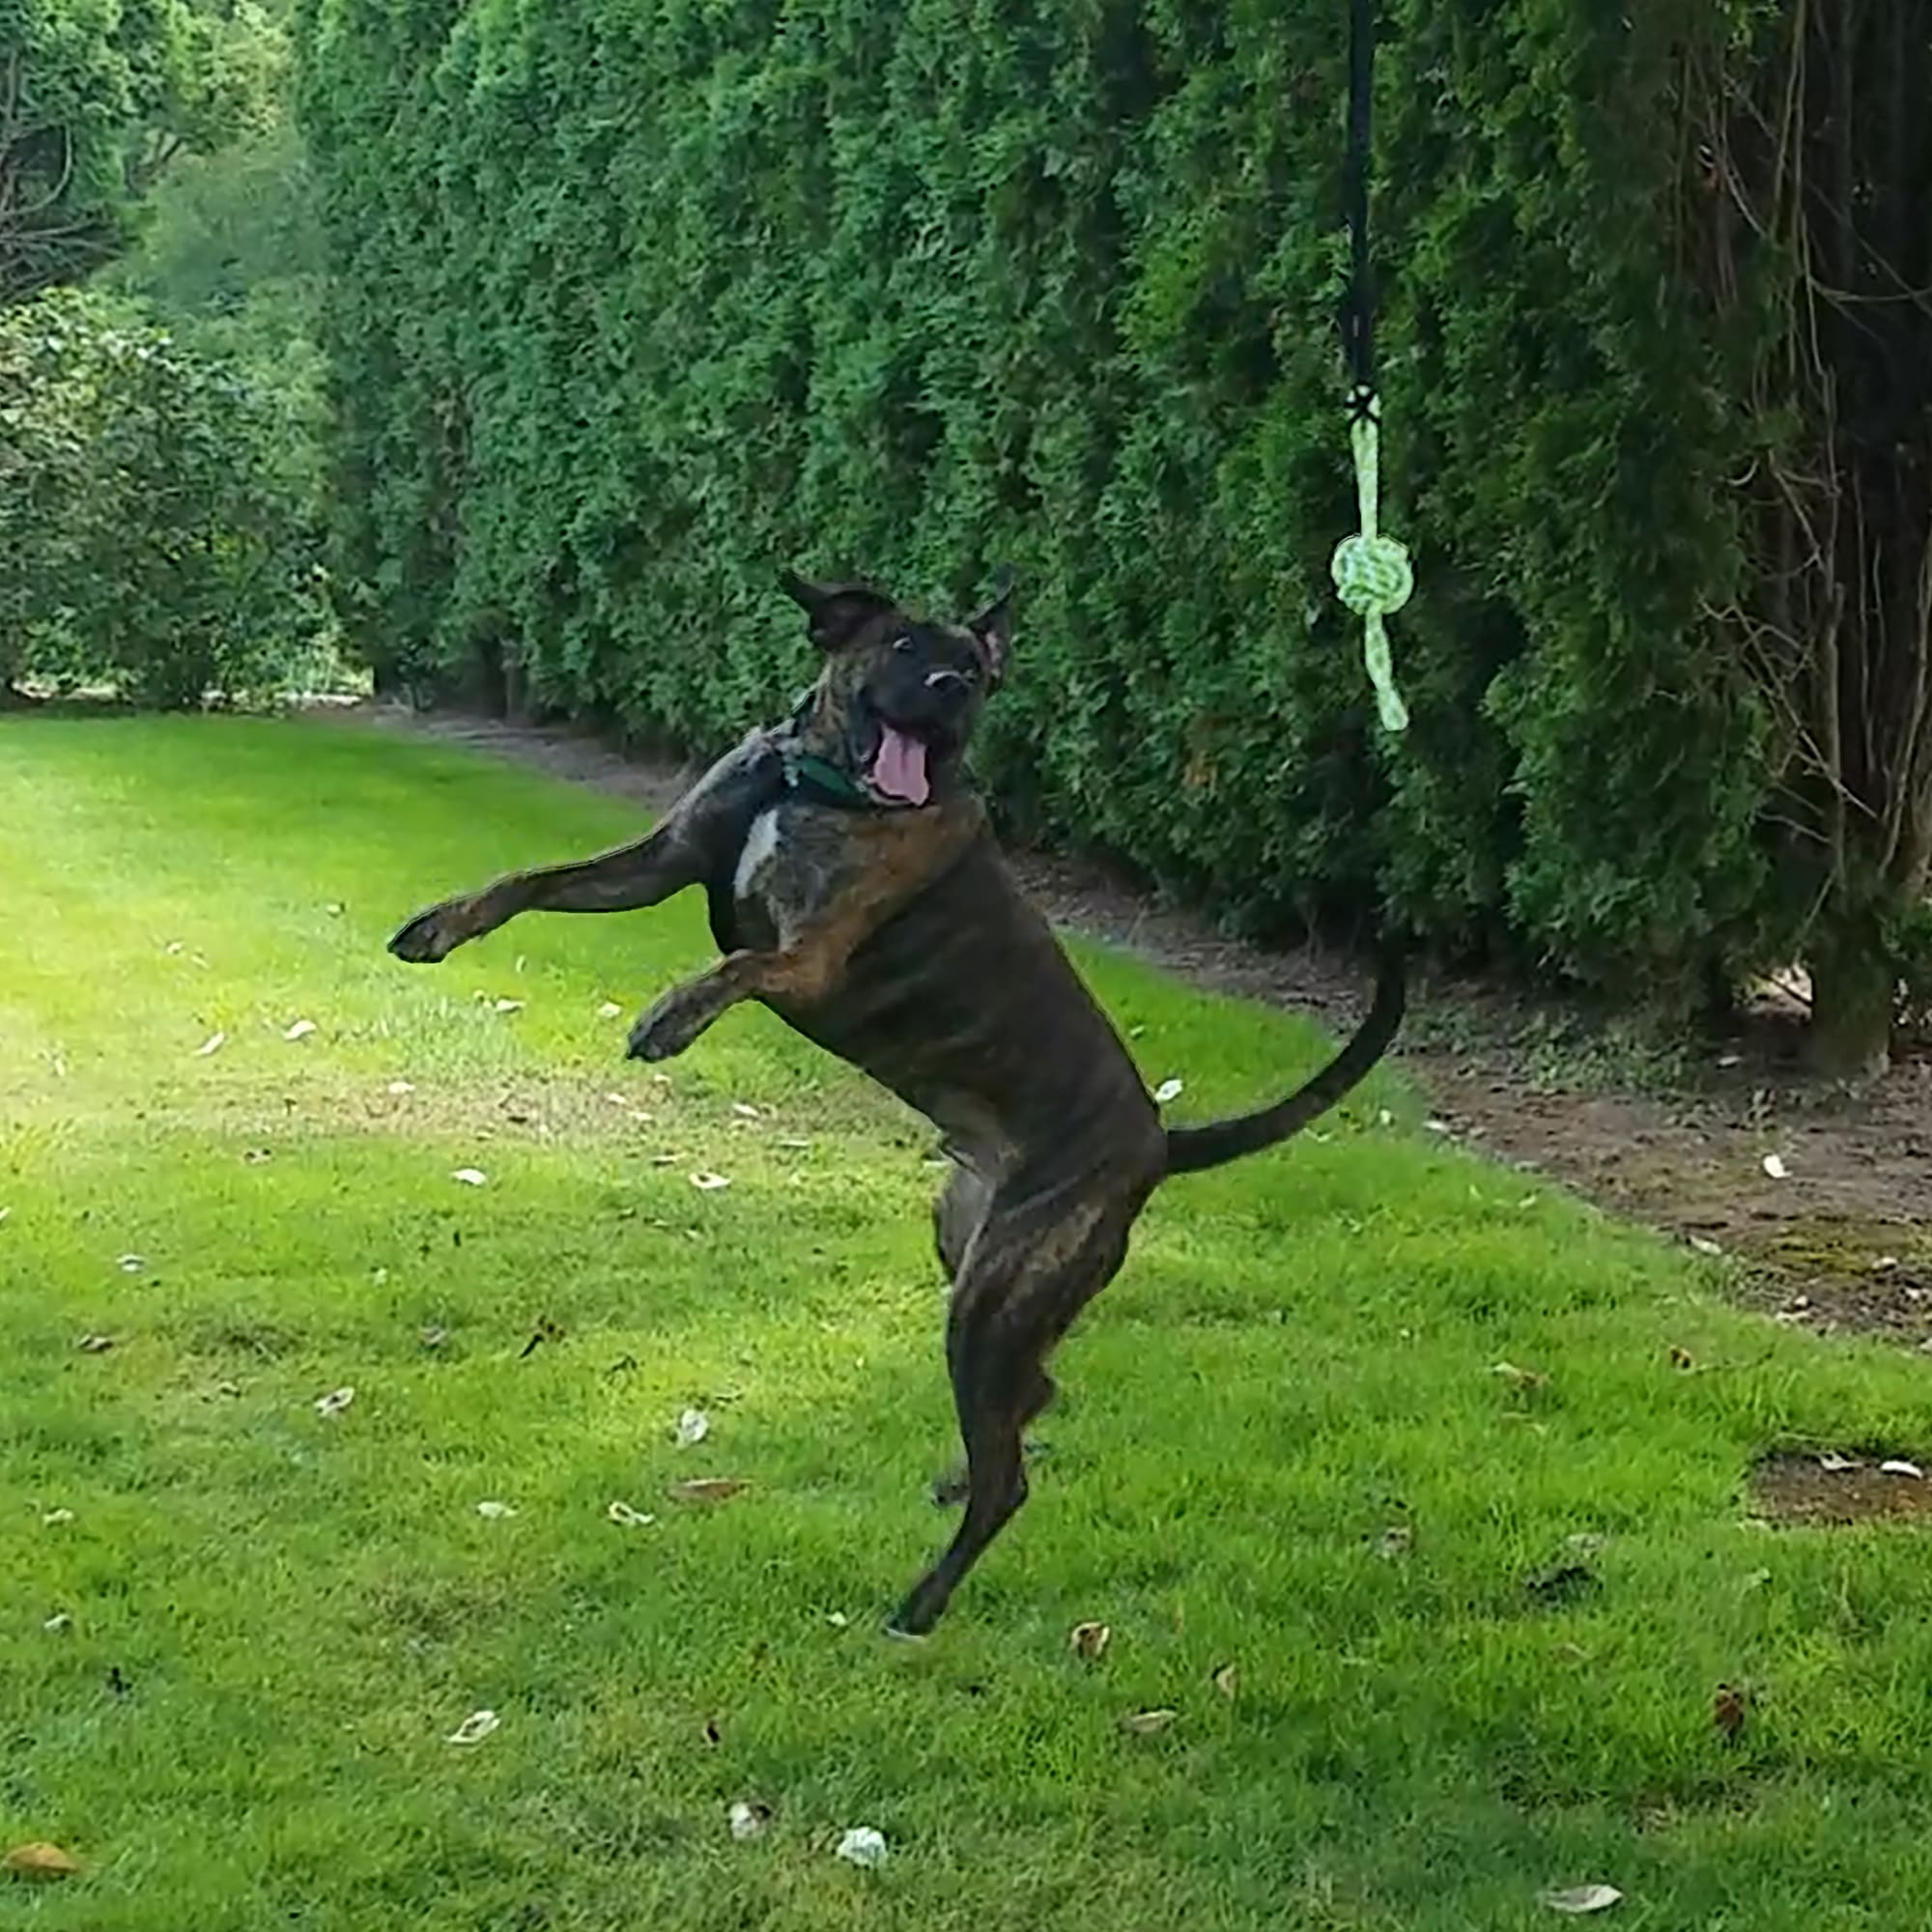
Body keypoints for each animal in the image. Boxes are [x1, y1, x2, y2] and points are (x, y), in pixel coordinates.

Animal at [384, 568, 1406, 1631]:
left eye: (972, 669)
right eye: (908, 646)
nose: (953, 687)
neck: (817, 784)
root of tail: (1157, 1142)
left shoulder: (809, 958)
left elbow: (740, 964)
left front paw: (672, 1014)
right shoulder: (660, 859)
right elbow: (533, 878)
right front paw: (440, 925)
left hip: (994, 1298)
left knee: (1010, 1471)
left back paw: (923, 1600)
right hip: (972, 1249)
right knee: (1032, 1396)